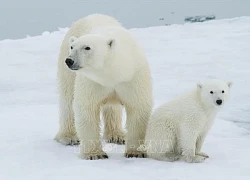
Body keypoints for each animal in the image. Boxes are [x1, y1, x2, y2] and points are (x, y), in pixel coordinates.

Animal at [54, 14, 152, 160]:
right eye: (72, 47)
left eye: (87, 47)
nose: (70, 60)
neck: (111, 73)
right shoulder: (92, 81)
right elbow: (86, 108)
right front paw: (95, 154)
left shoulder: (132, 77)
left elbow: (138, 107)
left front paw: (135, 152)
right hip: (66, 71)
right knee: (68, 99)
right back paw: (69, 137)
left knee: (112, 109)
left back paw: (117, 135)